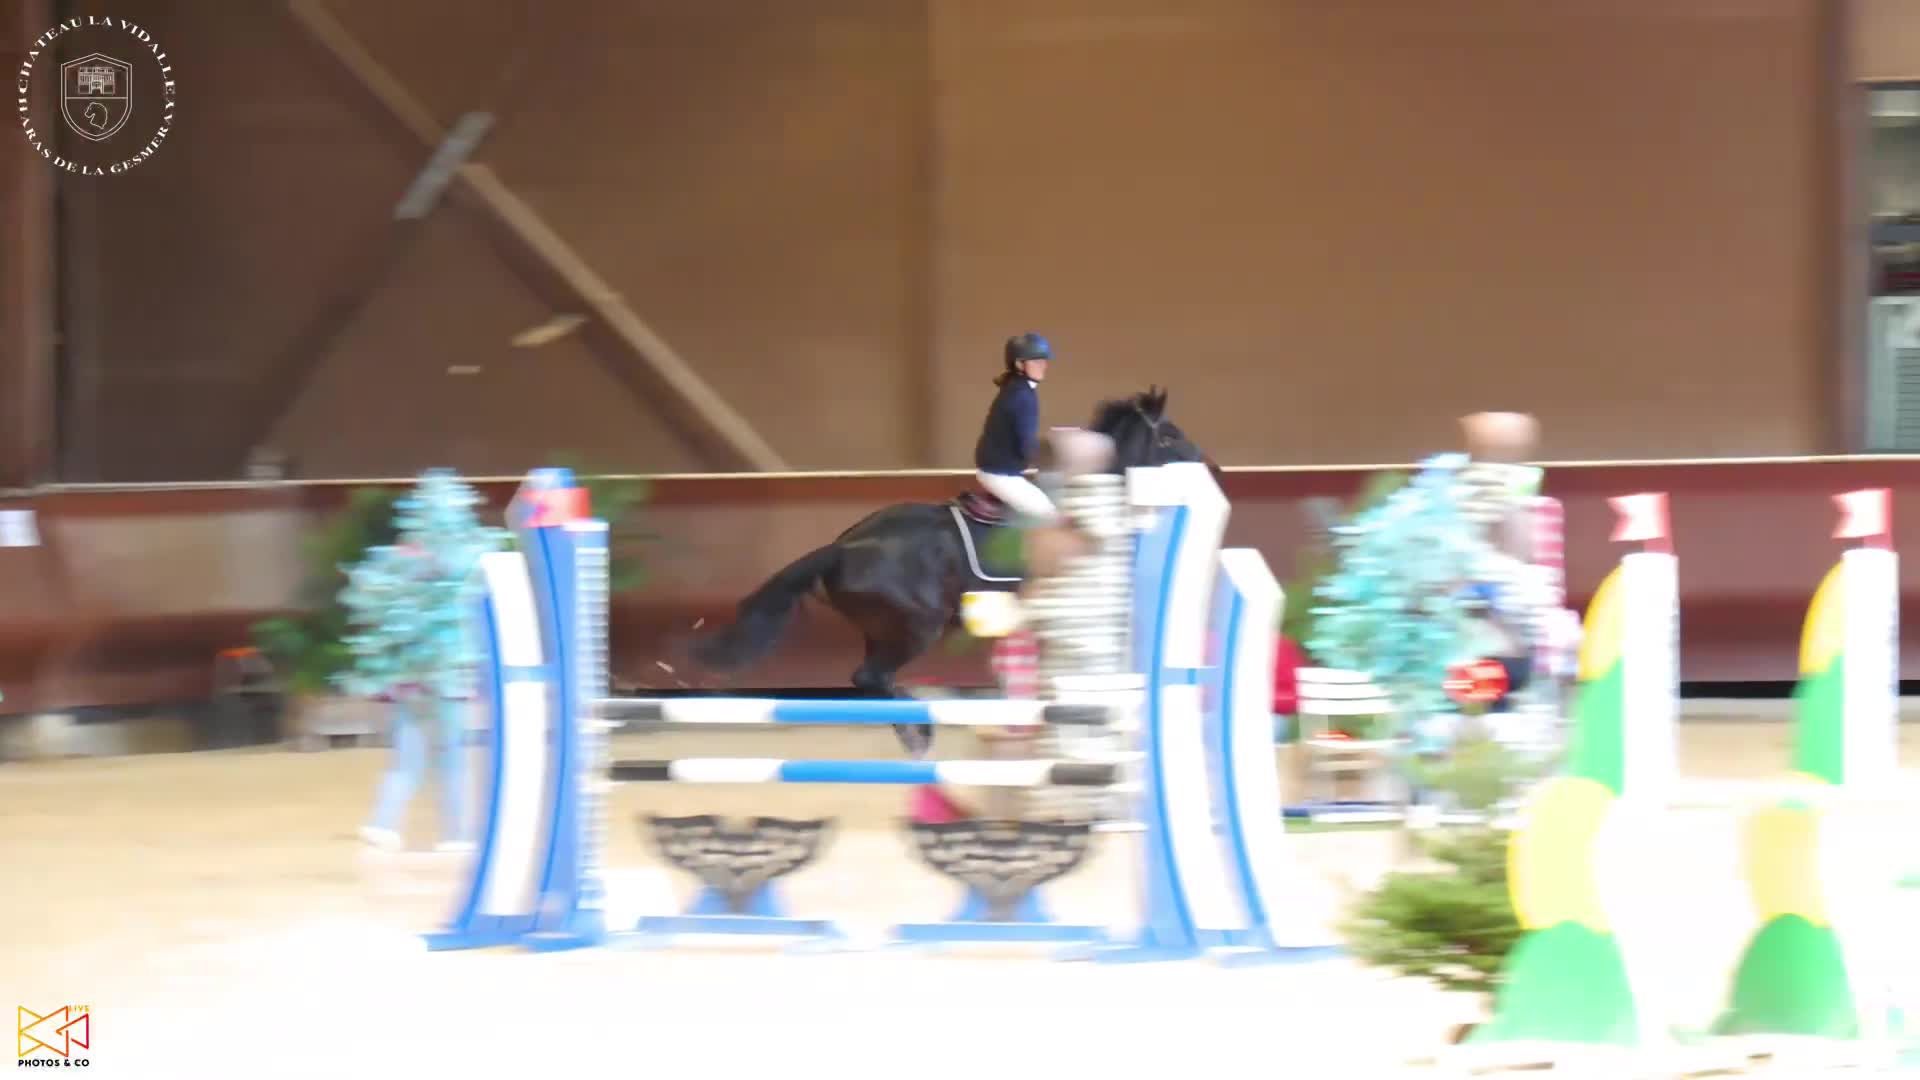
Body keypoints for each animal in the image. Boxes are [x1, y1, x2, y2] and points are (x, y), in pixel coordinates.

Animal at [687, 387, 1213, 752]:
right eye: (1169, 435)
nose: (1210, 468)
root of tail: (842, 546)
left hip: (884, 628)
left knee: (870, 680)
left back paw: (913, 731)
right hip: (916, 626)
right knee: (871, 677)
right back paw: (919, 731)